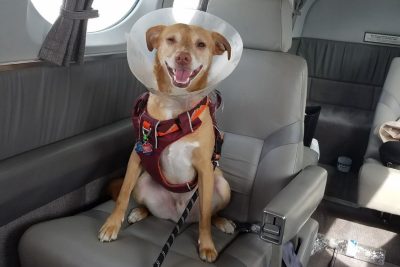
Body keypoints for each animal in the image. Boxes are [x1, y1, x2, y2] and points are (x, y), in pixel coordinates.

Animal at [98, 23, 233, 264]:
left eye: (201, 44)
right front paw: (111, 225)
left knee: (209, 213)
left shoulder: (205, 168)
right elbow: (122, 195)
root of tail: (176, 216)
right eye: (170, 39)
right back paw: (139, 212)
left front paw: (207, 245)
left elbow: (205, 216)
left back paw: (222, 222)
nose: (183, 58)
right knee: (142, 203)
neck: (176, 105)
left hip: (222, 185)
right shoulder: (137, 155)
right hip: (142, 182)